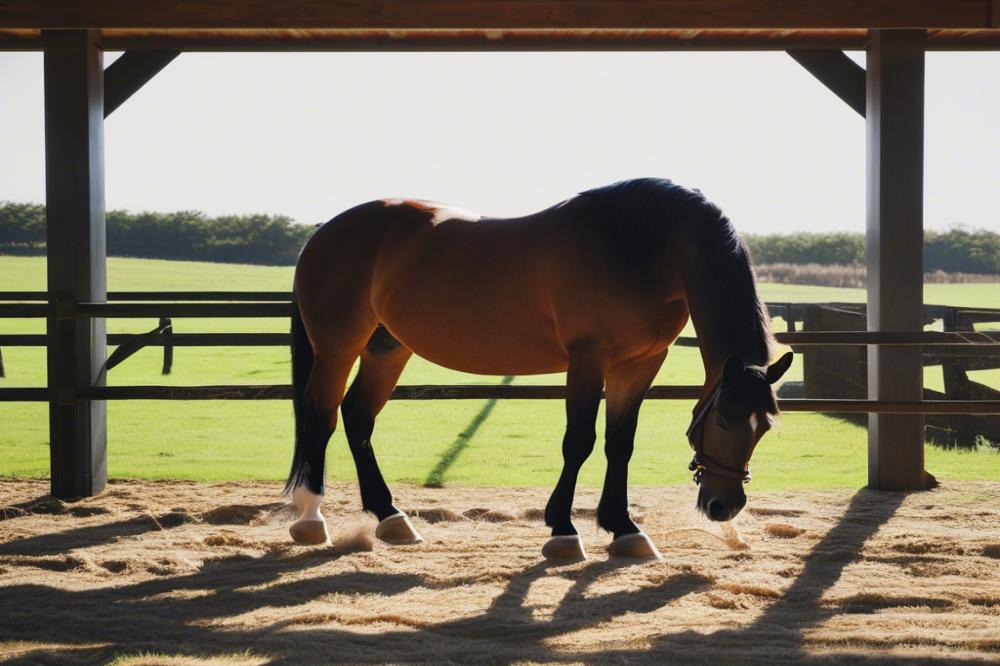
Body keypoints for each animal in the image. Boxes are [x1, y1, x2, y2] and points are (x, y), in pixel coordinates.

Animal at [286, 178, 792, 560]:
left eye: (766, 425)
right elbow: (579, 441)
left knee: (357, 417)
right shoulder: (588, 358)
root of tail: (326, 232)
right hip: (337, 348)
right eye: (722, 419)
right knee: (320, 416)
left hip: (387, 348)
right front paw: (564, 531)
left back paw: (391, 517)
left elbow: (620, 443)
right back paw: (312, 518)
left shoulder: (640, 364)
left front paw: (624, 528)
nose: (725, 505)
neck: (638, 248)